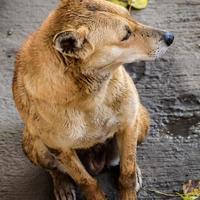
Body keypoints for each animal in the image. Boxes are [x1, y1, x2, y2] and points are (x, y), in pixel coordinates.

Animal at [12, 0, 173, 199]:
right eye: (126, 35)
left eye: (131, 16)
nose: (170, 37)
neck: (90, 97)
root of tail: (98, 163)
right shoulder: (60, 148)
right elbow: (87, 182)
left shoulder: (129, 123)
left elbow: (126, 173)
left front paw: (130, 182)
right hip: (35, 144)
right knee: (55, 170)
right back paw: (62, 184)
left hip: (141, 123)